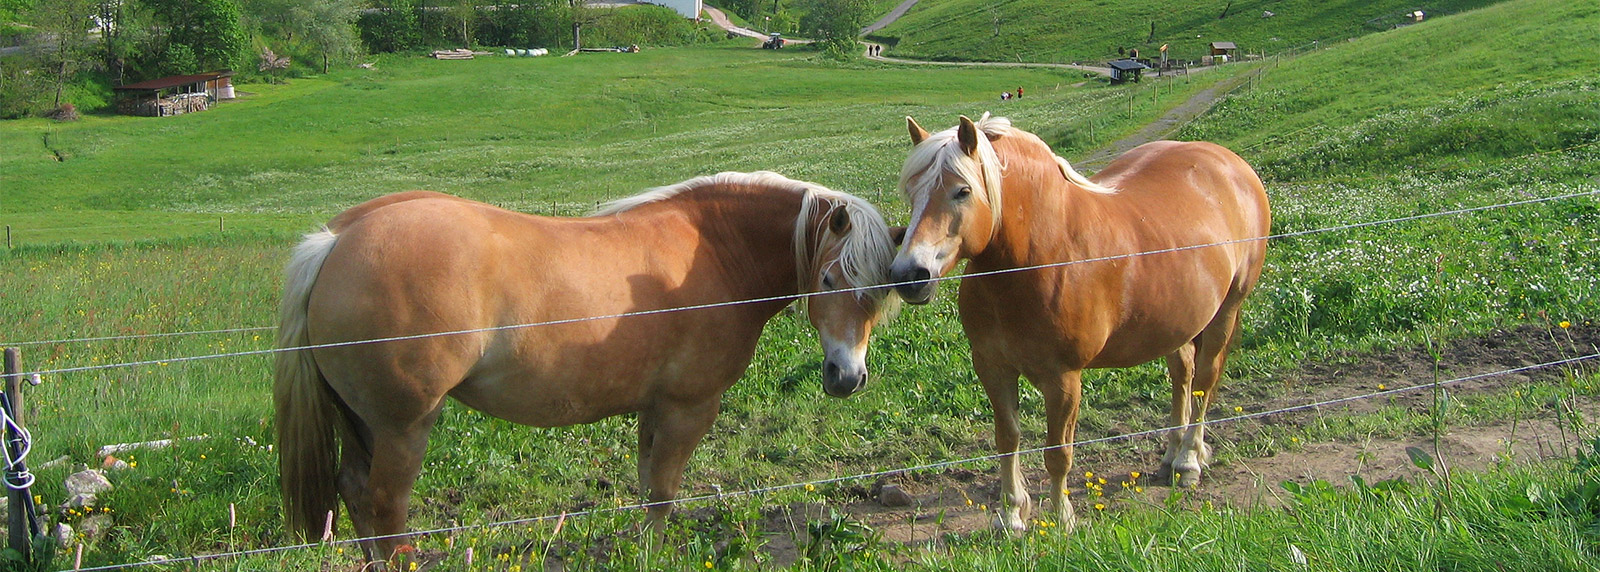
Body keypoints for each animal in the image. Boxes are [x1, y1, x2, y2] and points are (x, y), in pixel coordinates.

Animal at [275, 170, 902, 562]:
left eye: (879, 293)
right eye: (829, 279)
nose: (847, 377)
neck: (716, 250)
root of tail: (337, 239)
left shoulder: (655, 407)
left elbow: (650, 486)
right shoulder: (689, 407)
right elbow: (663, 492)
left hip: (363, 422)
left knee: (356, 494)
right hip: (404, 426)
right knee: (385, 506)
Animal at [896, 115, 1267, 530]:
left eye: (962, 191)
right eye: (912, 192)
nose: (909, 275)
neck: (1041, 255)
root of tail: (1229, 162)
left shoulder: (1064, 379)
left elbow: (1058, 452)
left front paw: (1061, 520)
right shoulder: (993, 367)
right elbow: (1007, 440)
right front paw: (1012, 515)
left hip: (1226, 312)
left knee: (1204, 381)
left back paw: (1189, 460)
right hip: (1177, 322)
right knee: (1182, 376)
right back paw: (1172, 457)